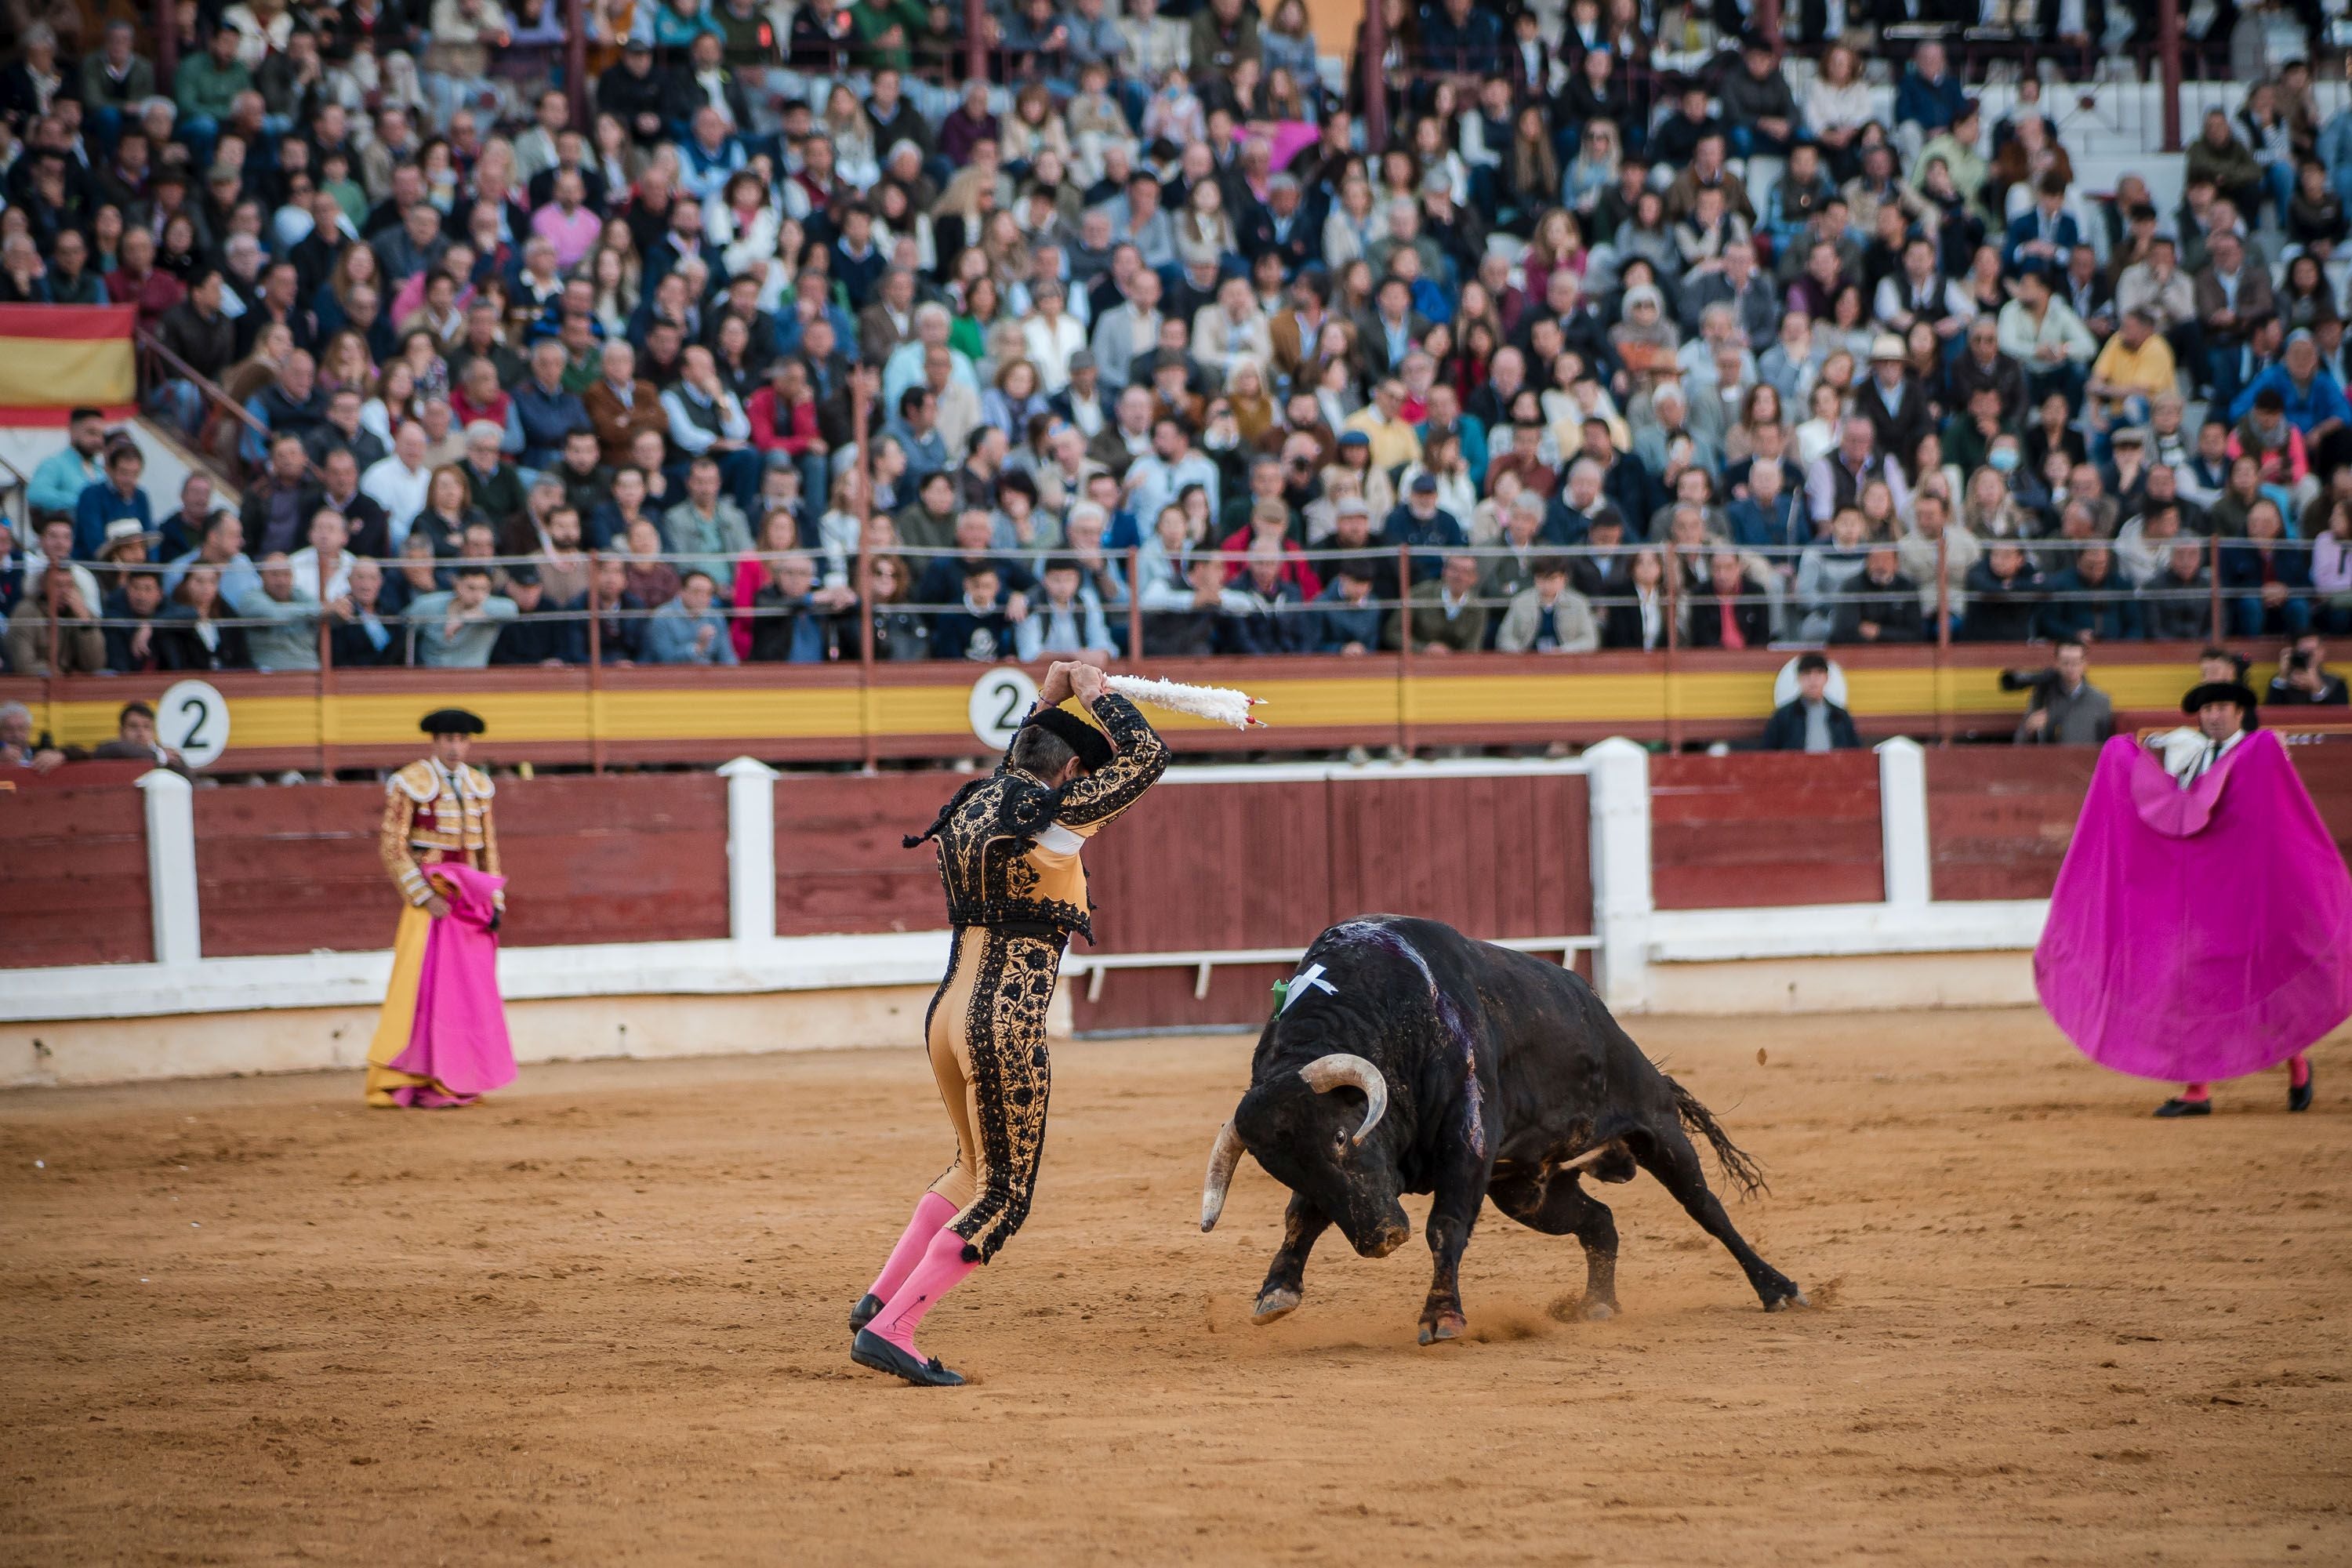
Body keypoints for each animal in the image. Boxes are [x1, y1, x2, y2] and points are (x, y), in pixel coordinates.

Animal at [1204, 912, 1806, 1345]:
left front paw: (1442, 1319)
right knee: (1599, 1222)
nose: (1381, 1239)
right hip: (1527, 1190)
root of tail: (1603, 1016)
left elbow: (1445, 1226)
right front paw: (1276, 1293)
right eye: (1285, 1171)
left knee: (1707, 1209)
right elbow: (1301, 1219)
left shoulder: (1467, 1144)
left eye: (1336, 1137)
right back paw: (1597, 1305)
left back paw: (1778, 1290)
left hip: (1656, 1127)